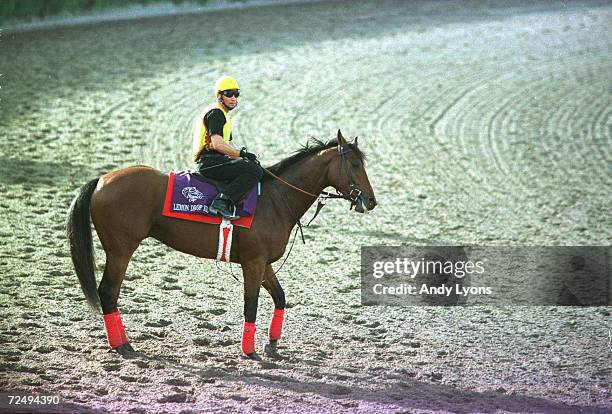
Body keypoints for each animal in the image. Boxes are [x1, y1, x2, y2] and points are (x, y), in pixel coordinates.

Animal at [65, 130, 372, 360]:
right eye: (356, 165)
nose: (371, 200)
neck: (275, 198)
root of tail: (102, 180)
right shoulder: (253, 263)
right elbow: (251, 305)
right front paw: (249, 351)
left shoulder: (264, 263)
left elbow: (280, 297)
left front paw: (272, 344)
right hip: (121, 250)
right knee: (108, 292)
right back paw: (122, 345)